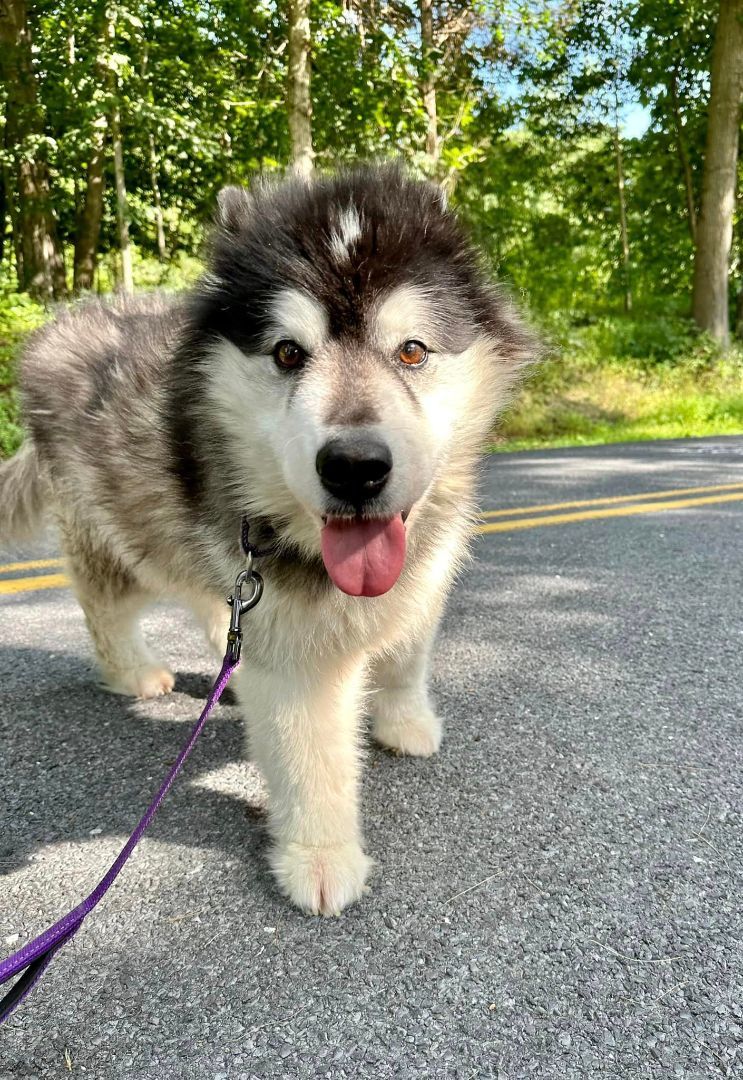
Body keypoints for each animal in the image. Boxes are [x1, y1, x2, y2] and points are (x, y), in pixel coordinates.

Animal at [1, 164, 533, 915]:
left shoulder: (423, 579)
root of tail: (58, 326)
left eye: (411, 350)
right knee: (108, 607)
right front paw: (320, 857)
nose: (354, 467)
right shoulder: (294, 655)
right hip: (121, 537)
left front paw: (404, 722)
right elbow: (310, 761)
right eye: (287, 352)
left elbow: (406, 653)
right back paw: (135, 672)